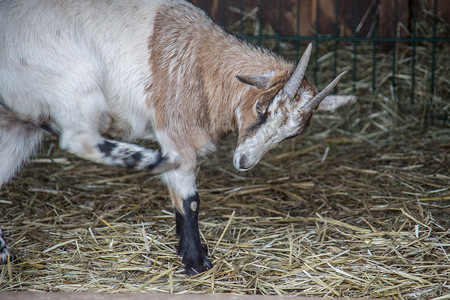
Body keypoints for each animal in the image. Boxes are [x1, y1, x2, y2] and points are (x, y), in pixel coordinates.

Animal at [0, 0, 356, 276]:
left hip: (20, 124)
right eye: (261, 108)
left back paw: (5, 255)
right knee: (78, 138)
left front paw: (191, 250)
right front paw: (196, 262)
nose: (244, 162)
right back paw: (152, 160)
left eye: (290, 135)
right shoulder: (176, 130)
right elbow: (190, 199)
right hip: (73, 85)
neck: (202, 60)